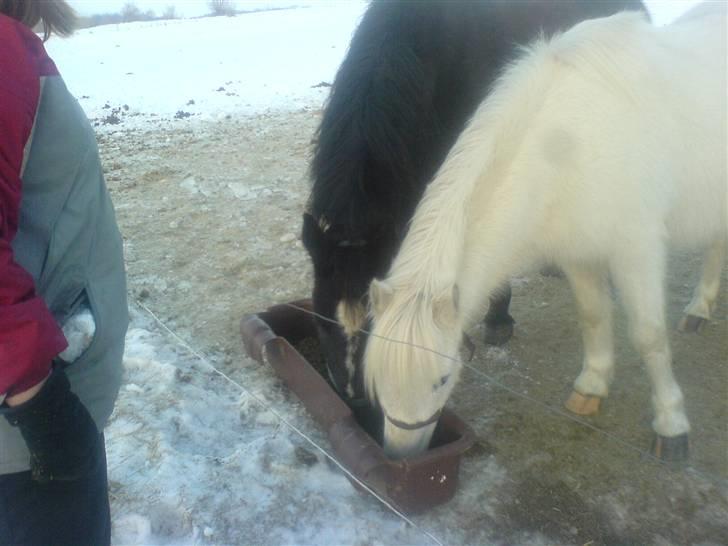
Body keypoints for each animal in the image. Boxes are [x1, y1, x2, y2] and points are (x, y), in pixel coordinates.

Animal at [366, 6, 724, 460]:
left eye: (442, 379)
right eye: (379, 382)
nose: (401, 457)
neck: (571, 143)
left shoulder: (637, 250)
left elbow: (649, 338)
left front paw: (671, 425)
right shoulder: (579, 254)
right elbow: (593, 316)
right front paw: (591, 387)